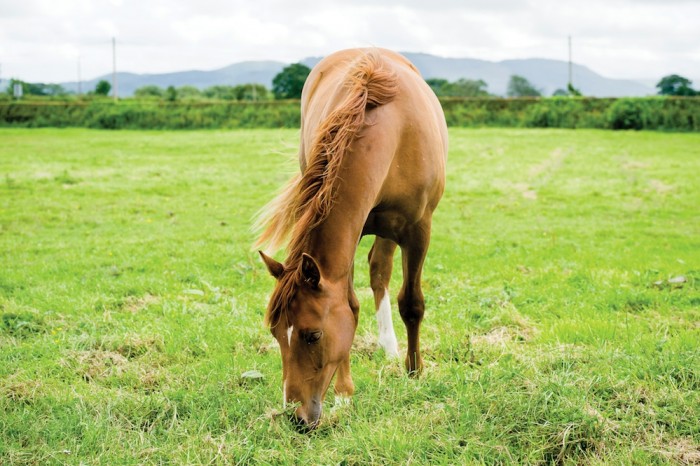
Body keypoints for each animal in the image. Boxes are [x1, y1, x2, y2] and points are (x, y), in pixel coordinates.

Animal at [254, 48, 446, 430]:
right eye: (275, 333)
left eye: (313, 335)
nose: (296, 417)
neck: (396, 132)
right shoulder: (351, 234)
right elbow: (351, 305)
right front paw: (344, 393)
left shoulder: (418, 229)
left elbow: (412, 303)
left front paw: (415, 372)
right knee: (377, 271)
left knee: (382, 270)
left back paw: (392, 349)